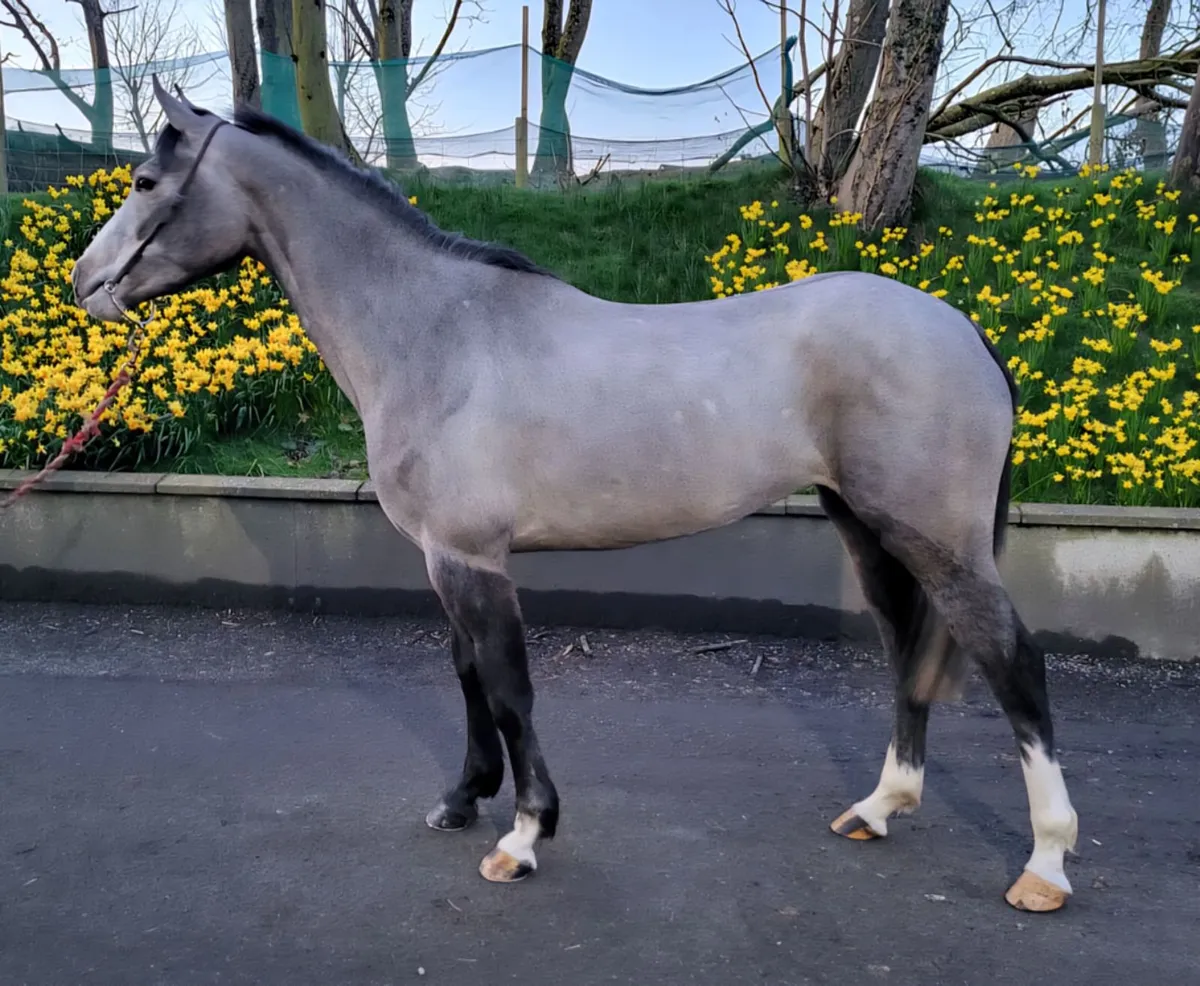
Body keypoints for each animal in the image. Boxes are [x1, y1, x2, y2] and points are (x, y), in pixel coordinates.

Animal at [70, 79, 1078, 913]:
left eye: (145, 181)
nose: (86, 283)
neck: (436, 334)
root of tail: (962, 328)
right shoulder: (446, 557)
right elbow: (469, 676)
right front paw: (463, 800)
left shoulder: (473, 558)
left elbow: (511, 691)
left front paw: (523, 835)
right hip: (867, 529)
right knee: (907, 646)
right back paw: (880, 806)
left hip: (937, 538)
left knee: (1014, 664)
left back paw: (1044, 864)